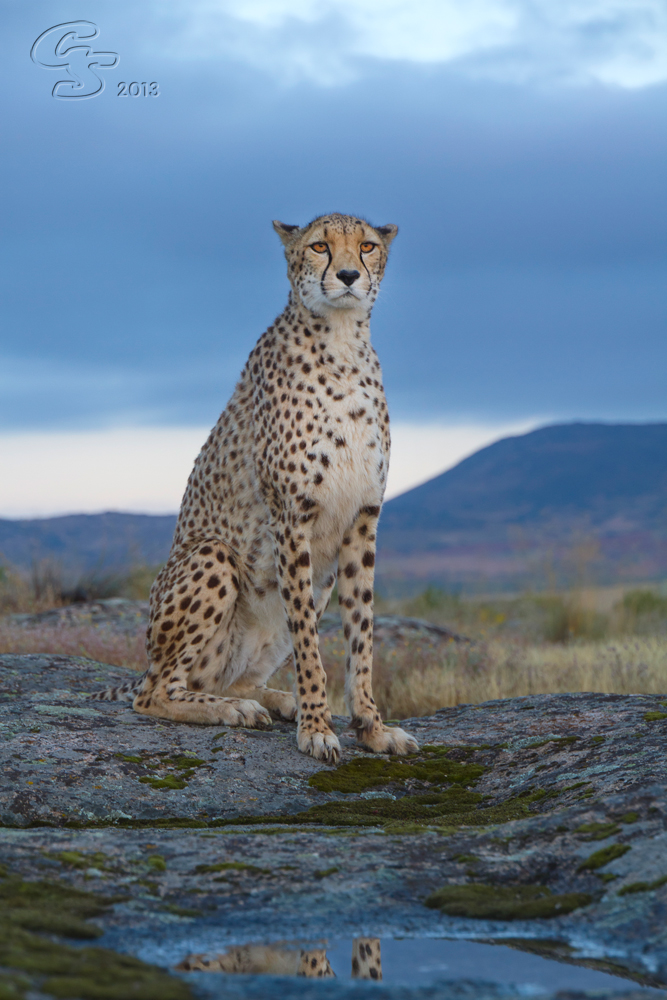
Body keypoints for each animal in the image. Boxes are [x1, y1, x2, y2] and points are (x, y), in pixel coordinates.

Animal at [94, 209, 418, 756]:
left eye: (368, 246)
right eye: (320, 246)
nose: (349, 275)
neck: (342, 342)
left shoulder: (362, 520)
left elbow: (362, 634)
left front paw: (372, 728)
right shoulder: (292, 517)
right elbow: (310, 643)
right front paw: (317, 728)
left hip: (320, 581)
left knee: (230, 677)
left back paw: (269, 699)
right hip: (213, 556)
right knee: (155, 692)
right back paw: (235, 709)